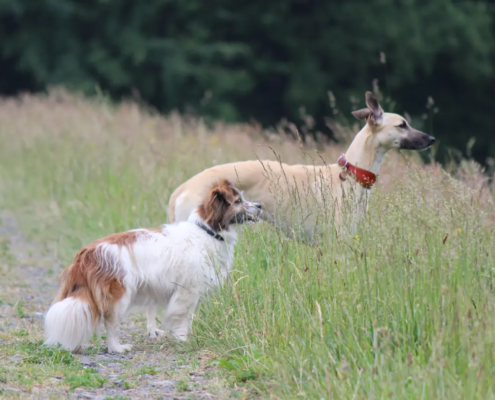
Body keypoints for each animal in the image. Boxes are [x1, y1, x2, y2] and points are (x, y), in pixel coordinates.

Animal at [45, 180, 264, 352]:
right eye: (238, 202)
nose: (260, 205)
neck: (207, 231)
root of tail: (87, 252)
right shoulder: (187, 292)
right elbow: (182, 319)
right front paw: (183, 339)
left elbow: (188, 318)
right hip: (120, 296)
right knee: (110, 324)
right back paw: (117, 348)